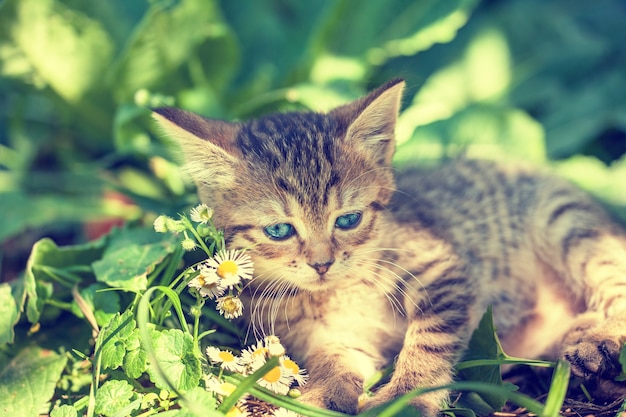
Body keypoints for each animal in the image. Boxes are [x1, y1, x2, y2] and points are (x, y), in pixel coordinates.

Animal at [154, 79, 624, 416]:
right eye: (279, 230)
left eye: (348, 220)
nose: (322, 264)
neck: (337, 295)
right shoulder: (319, 334)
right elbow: (333, 361)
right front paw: (324, 395)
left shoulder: (445, 269)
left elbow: (429, 340)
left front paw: (406, 398)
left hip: (565, 222)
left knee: (614, 280)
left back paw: (599, 340)